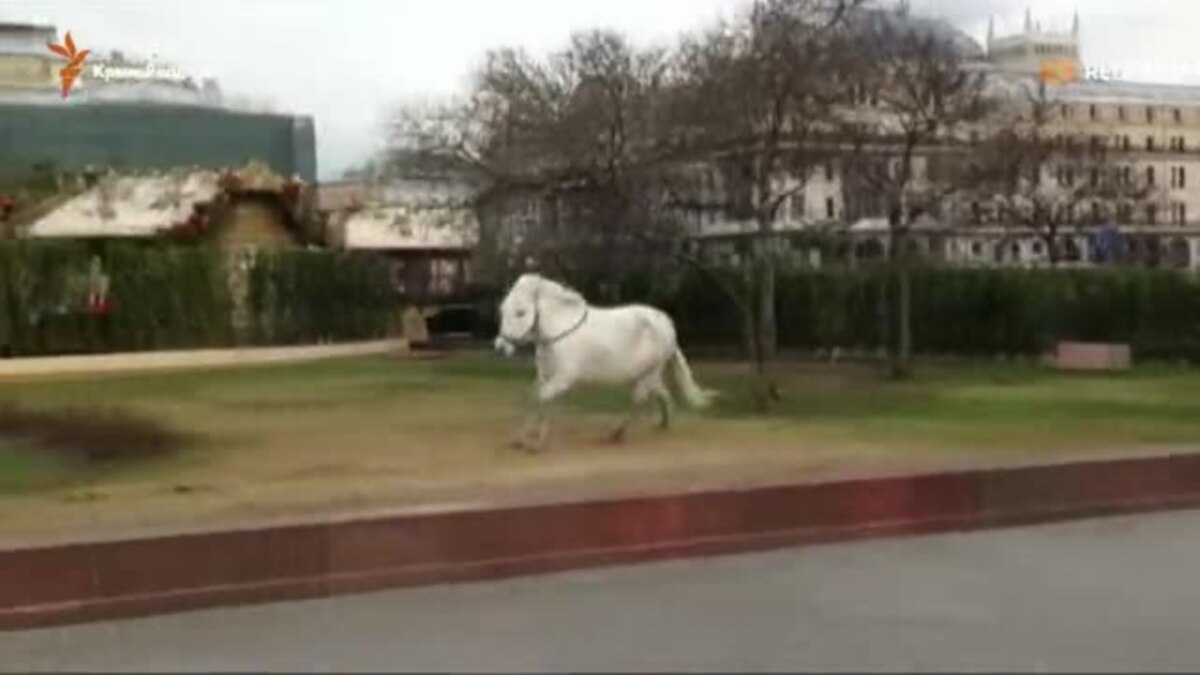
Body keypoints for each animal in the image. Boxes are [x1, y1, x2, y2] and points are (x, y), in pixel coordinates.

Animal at [494, 270, 710, 449]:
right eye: (503, 309)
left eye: (521, 312)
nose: (501, 347)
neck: (558, 333)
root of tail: (666, 324)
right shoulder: (545, 376)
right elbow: (533, 398)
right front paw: (522, 438)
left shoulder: (563, 379)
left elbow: (541, 399)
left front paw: (535, 440)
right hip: (647, 376)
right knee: (663, 394)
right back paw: (663, 423)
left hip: (648, 375)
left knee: (638, 402)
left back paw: (616, 433)